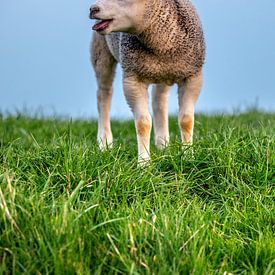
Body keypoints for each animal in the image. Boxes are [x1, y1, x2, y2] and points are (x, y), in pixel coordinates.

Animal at [89, 0, 206, 164]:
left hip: (163, 72)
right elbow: (143, 123)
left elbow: (186, 120)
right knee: (104, 94)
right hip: (100, 51)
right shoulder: (133, 78)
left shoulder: (193, 76)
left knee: (159, 100)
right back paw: (105, 143)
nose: (92, 9)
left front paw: (189, 157)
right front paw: (144, 163)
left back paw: (163, 145)